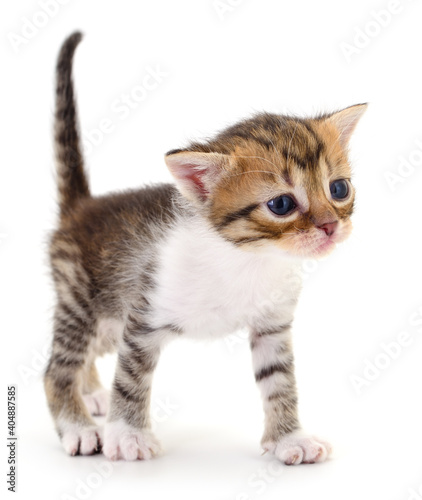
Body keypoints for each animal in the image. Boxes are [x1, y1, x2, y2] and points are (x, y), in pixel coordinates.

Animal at [43, 33, 366, 464]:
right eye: (281, 204)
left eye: (338, 189)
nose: (331, 226)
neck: (247, 258)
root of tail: (82, 207)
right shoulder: (143, 316)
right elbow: (131, 377)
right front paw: (128, 435)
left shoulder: (272, 324)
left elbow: (280, 381)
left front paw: (289, 438)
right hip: (82, 300)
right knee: (57, 367)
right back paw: (78, 426)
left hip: (108, 319)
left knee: (90, 353)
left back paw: (93, 392)